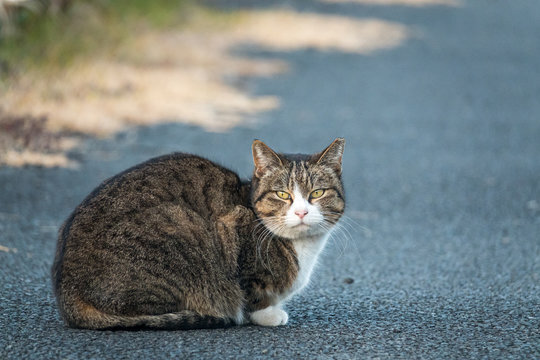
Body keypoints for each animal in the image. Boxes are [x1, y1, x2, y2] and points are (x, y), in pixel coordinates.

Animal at [51, 138, 346, 330]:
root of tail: (67, 293)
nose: (301, 212)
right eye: (283, 195)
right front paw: (267, 315)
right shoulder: (232, 227)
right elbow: (250, 292)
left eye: (317, 193)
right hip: (181, 227)